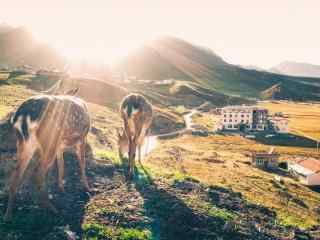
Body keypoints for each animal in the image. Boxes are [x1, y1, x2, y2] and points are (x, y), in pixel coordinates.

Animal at [3, 88, 90, 221]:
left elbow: (61, 164)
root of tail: (23, 115)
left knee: (17, 172)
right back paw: (52, 208)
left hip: (25, 143)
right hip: (49, 139)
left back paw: (8, 215)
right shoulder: (82, 138)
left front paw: (61, 187)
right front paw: (87, 187)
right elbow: (82, 163)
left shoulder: (60, 145)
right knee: (37, 173)